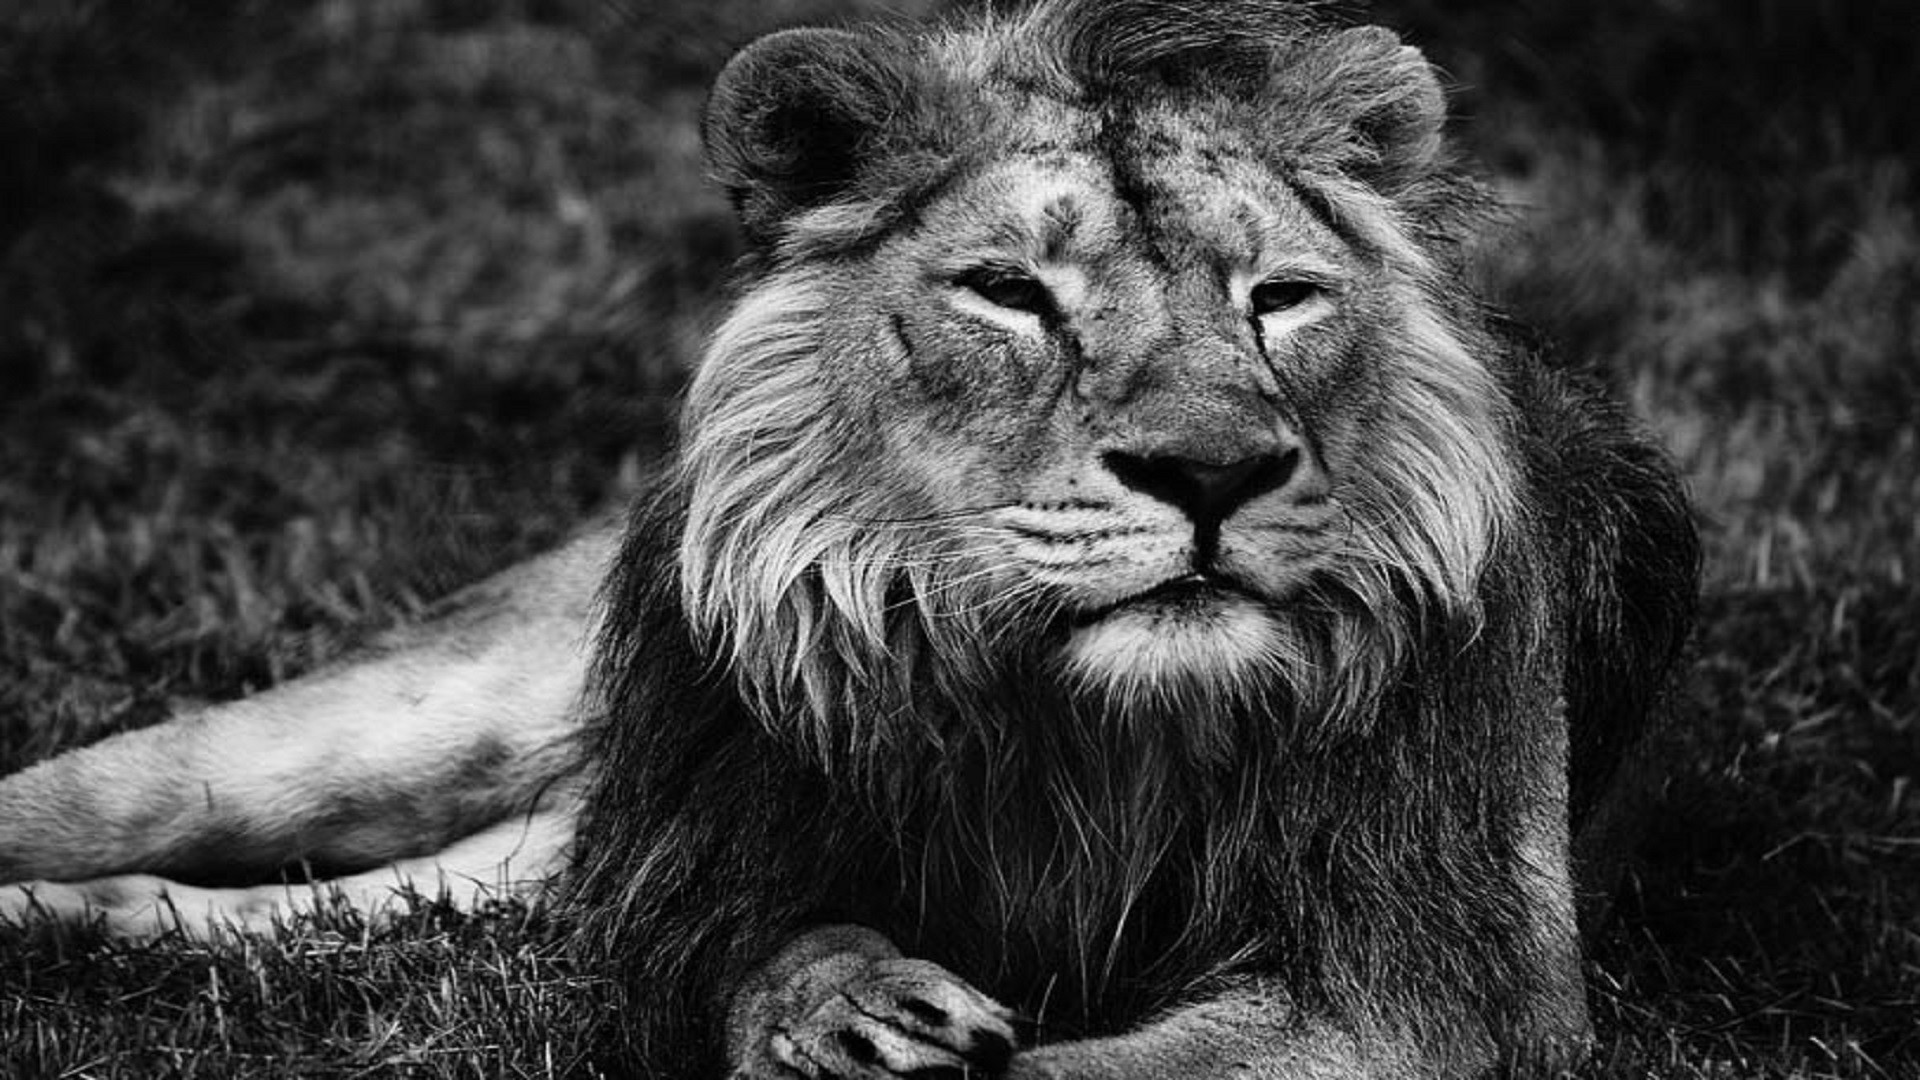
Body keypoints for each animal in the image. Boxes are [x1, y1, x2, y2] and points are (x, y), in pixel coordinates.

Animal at [0, 1, 1700, 1076]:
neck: (1079, 730)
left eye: (1280, 298)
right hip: (422, 721)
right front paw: (850, 1008)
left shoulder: (1435, 987)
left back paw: (87, 930)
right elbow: (764, 943)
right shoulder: (704, 859)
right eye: (1010, 293)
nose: (1211, 472)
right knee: (127, 792)